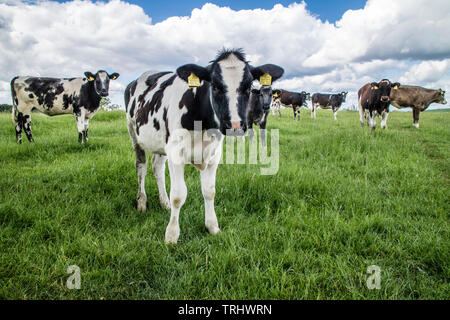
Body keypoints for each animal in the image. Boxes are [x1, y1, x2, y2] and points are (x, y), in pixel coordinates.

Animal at [125, 47, 284, 244]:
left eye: (248, 87)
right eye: (214, 86)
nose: (235, 126)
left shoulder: (213, 154)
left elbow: (209, 191)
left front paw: (212, 226)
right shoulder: (175, 152)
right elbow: (178, 195)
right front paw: (171, 235)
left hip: (161, 142)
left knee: (157, 167)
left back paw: (164, 203)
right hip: (134, 132)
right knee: (141, 166)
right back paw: (141, 202)